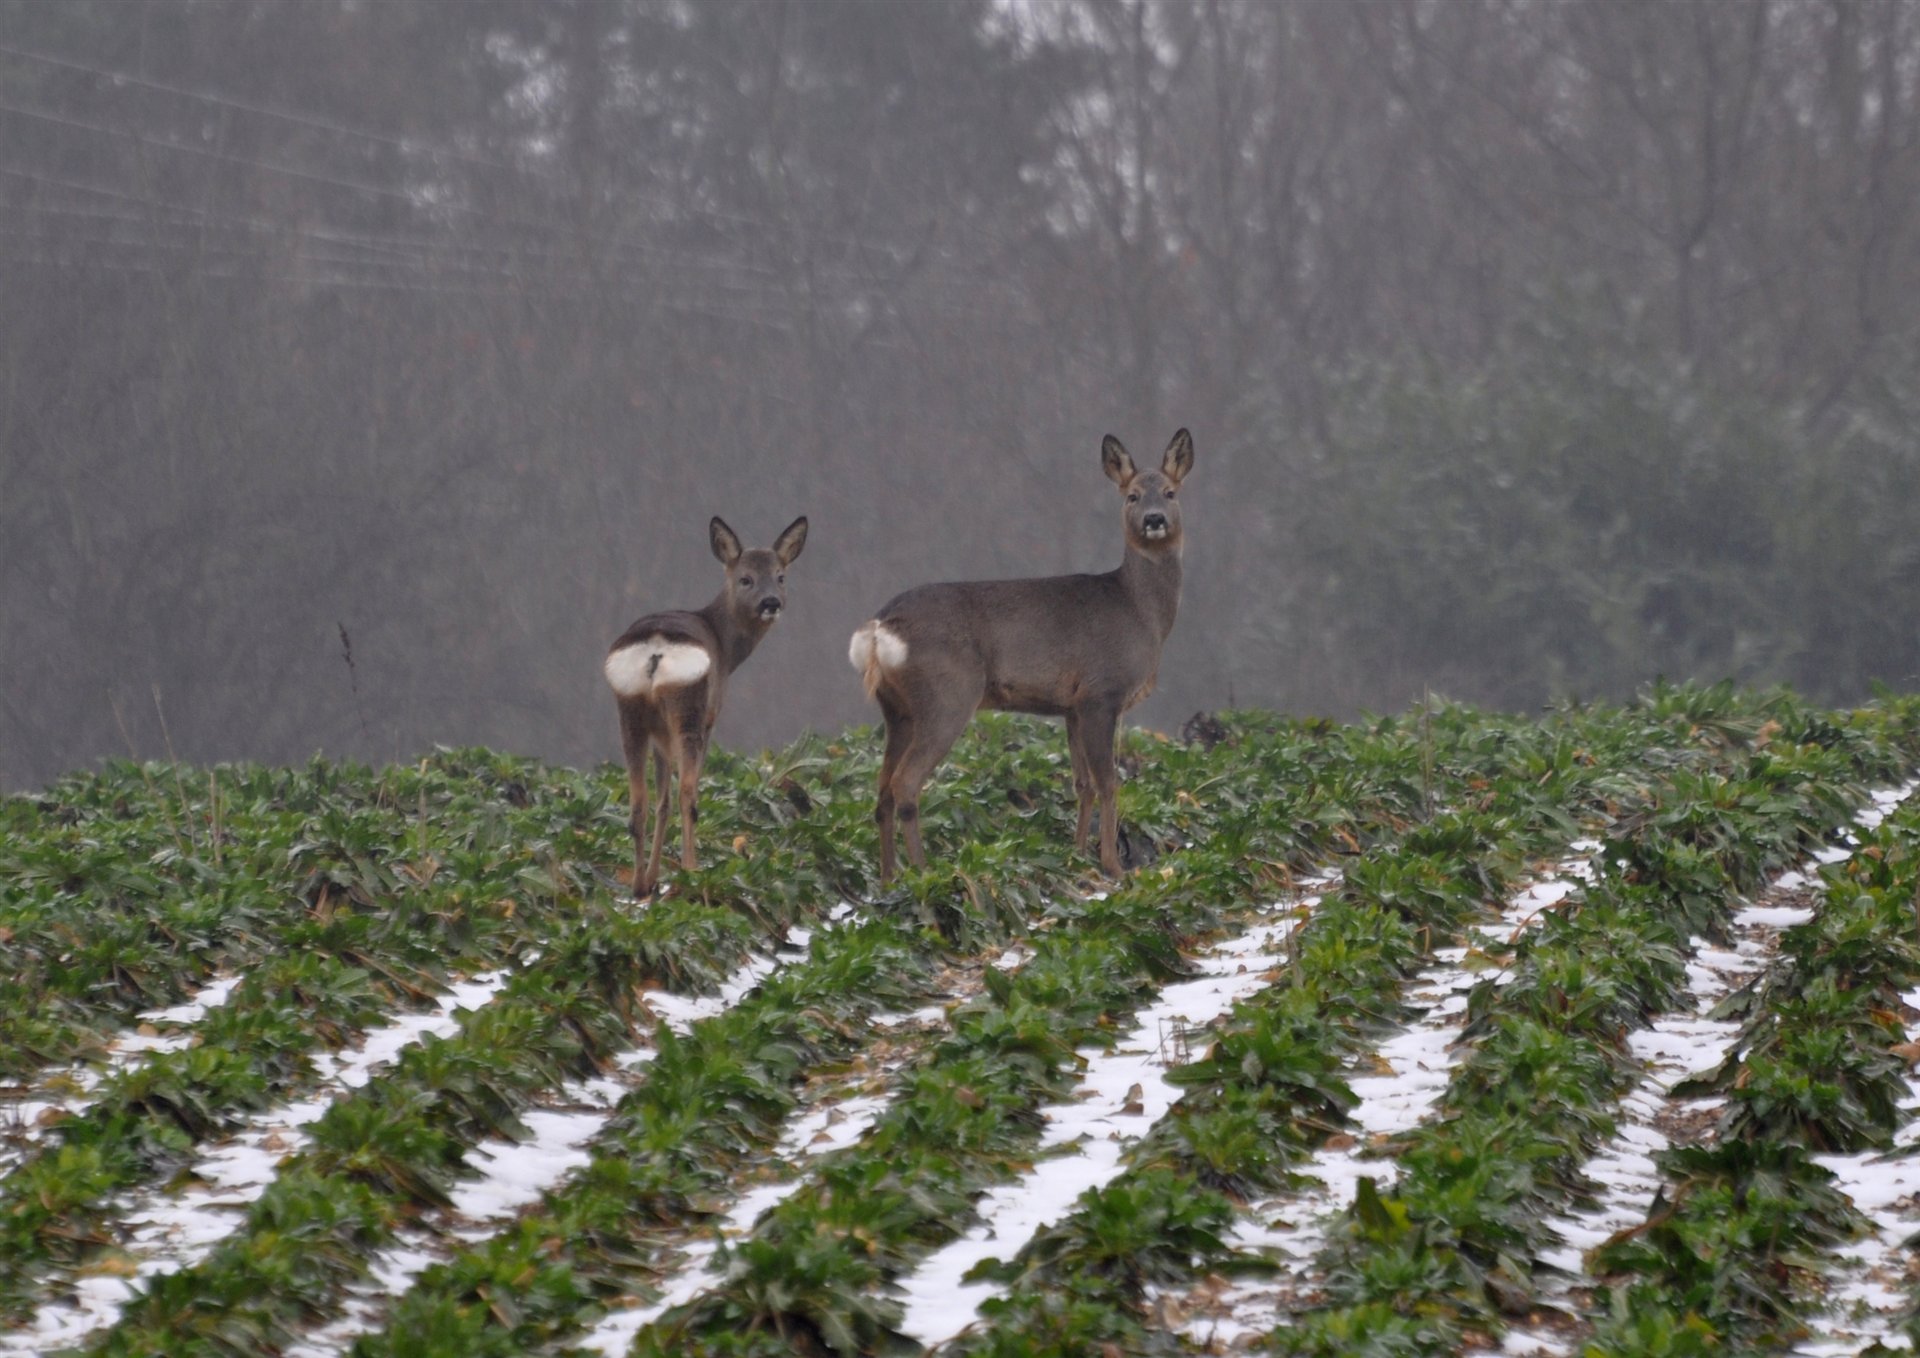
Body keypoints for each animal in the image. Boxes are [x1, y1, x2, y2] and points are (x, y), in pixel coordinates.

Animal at [605, 515, 808, 897]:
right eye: (745, 578)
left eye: (781, 576)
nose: (771, 602)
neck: (726, 647)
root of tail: (656, 650)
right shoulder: (712, 716)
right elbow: (681, 793)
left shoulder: (660, 734)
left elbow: (662, 801)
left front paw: (653, 878)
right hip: (689, 709)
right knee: (689, 793)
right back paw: (691, 872)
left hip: (630, 712)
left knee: (639, 801)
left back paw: (638, 885)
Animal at [849, 428, 1194, 886]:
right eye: (1132, 496)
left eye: (1171, 492)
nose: (1154, 519)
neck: (1141, 613)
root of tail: (879, 628)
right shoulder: (1101, 692)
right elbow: (1108, 783)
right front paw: (1113, 865)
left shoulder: (1071, 706)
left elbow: (1081, 783)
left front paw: (1078, 853)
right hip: (947, 696)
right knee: (905, 783)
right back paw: (926, 873)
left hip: (896, 709)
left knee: (882, 787)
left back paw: (890, 877)